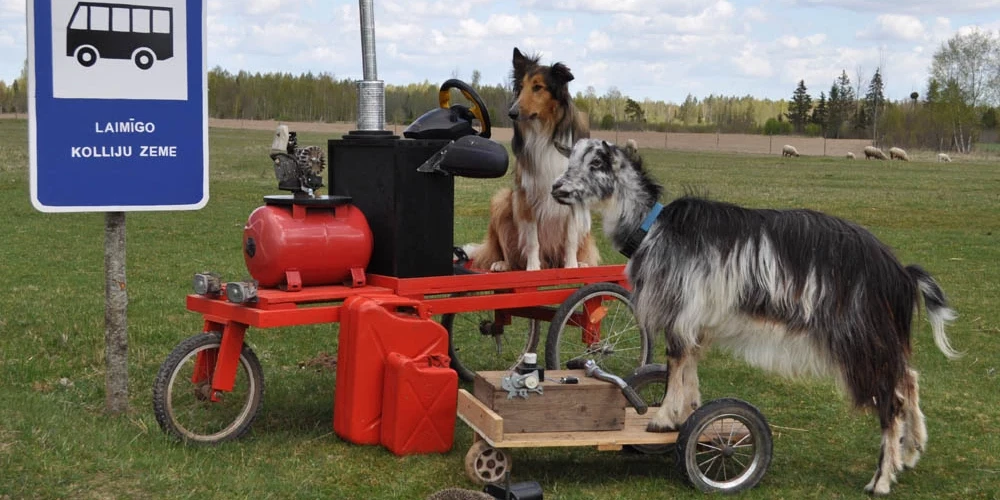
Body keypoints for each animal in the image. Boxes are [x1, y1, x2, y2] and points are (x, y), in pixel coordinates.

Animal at [462, 48, 596, 272]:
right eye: (521, 87)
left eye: (538, 87)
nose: (512, 112)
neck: (545, 133)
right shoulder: (527, 196)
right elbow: (532, 241)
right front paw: (533, 269)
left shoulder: (573, 198)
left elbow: (570, 239)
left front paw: (571, 267)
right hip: (503, 202)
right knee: (509, 253)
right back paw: (503, 263)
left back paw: (581, 262)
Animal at [552, 139, 964, 494]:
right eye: (570, 157)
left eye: (596, 162)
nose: (557, 188)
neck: (651, 229)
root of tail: (900, 274)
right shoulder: (696, 321)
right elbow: (690, 367)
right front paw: (689, 412)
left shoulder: (681, 313)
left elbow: (675, 362)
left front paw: (663, 418)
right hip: (882, 338)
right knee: (908, 379)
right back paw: (911, 451)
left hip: (860, 340)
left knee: (891, 401)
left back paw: (880, 480)